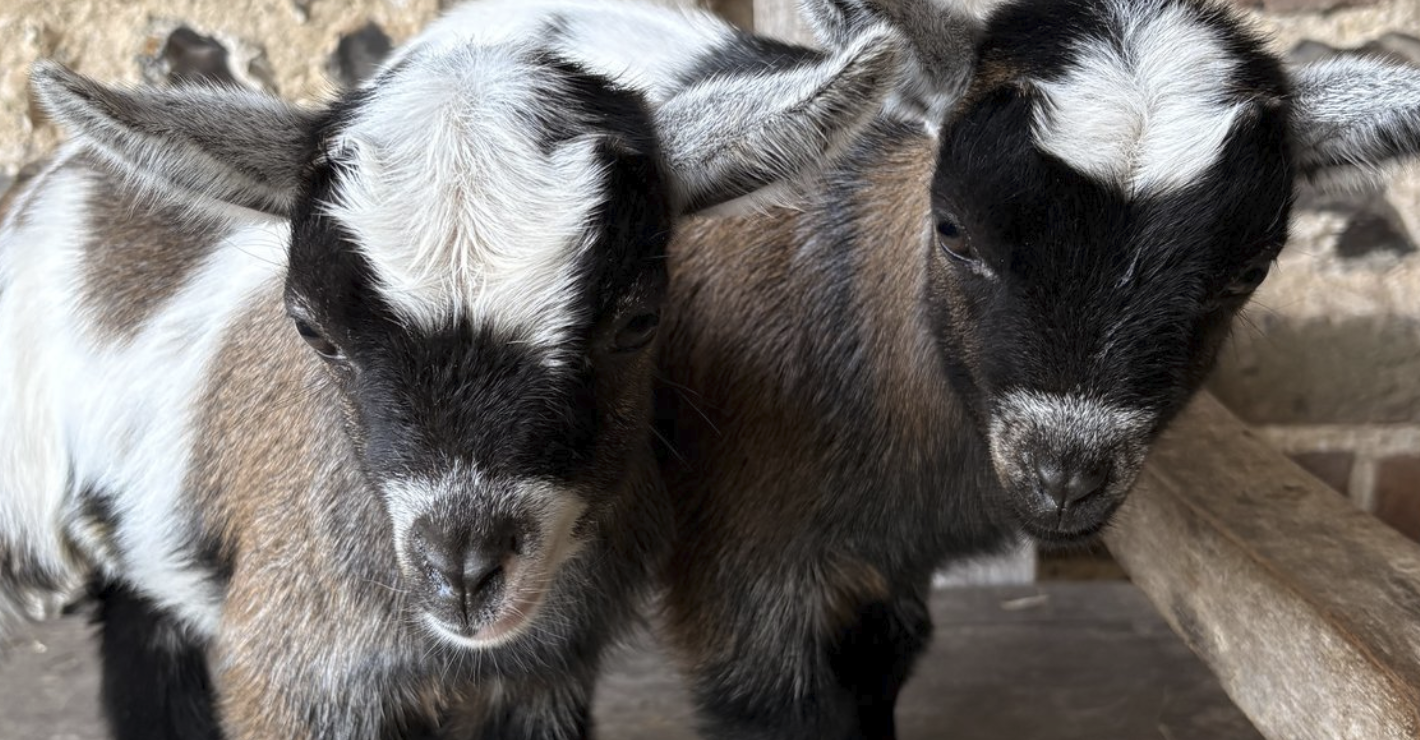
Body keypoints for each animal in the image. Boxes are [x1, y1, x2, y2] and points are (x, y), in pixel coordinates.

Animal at [456, 0, 1420, 737]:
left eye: (1248, 270)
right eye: (953, 229)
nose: (1064, 476)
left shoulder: (891, 562)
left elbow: (886, 663)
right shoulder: (743, 563)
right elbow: (773, 706)